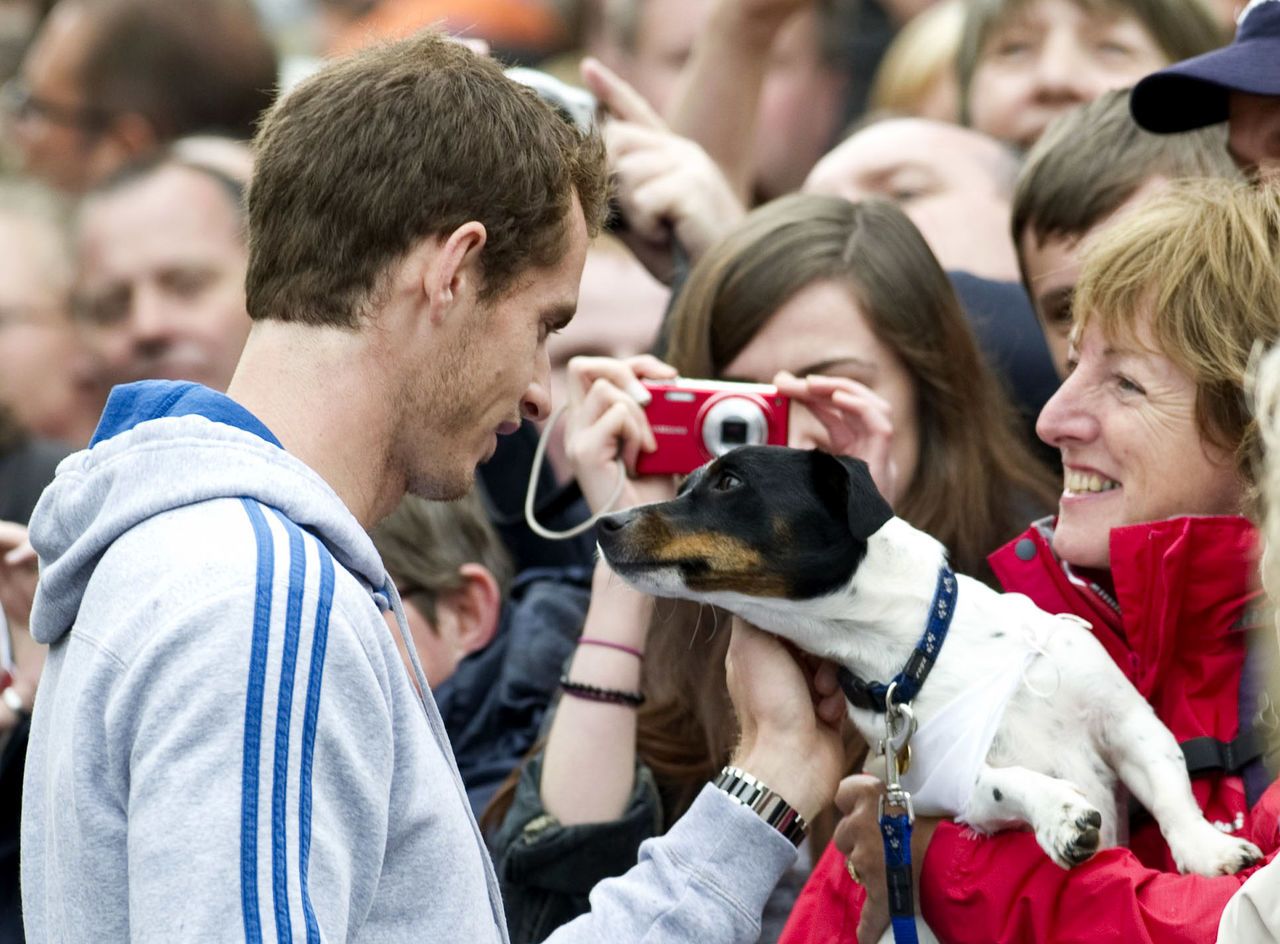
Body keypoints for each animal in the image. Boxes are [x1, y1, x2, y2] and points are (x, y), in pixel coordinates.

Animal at [599, 445, 1259, 936]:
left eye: (729, 481)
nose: (605, 523)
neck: (922, 652)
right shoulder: (946, 787)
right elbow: (1007, 781)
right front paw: (1058, 813)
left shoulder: (1126, 719)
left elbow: (1171, 787)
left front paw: (1208, 851)